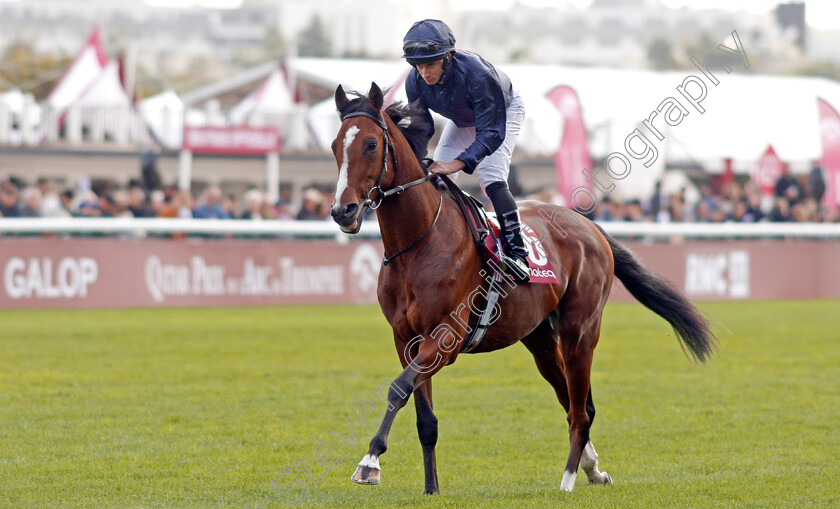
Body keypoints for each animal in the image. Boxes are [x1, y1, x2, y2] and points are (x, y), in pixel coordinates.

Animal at [328, 82, 716, 492]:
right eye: (336, 145)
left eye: (371, 144)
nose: (343, 211)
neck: (418, 243)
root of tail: (590, 226)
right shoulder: (406, 339)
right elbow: (424, 418)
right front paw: (431, 488)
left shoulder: (445, 337)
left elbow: (398, 388)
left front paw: (369, 461)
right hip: (540, 338)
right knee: (572, 402)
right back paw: (593, 468)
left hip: (579, 332)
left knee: (581, 409)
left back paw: (568, 479)